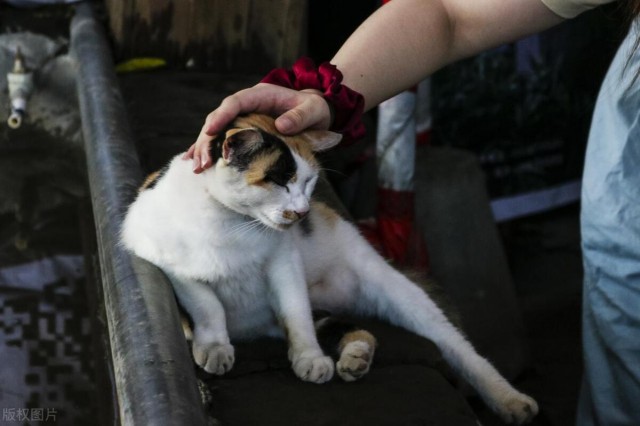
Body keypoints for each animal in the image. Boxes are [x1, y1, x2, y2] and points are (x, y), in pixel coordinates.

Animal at [122, 114, 536, 426]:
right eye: (280, 180)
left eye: (309, 183)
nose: (303, 212)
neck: (234, 224)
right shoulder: (164, 261)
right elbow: (207, 306)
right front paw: (214, 348)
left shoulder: (285, 265)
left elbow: (296, 315)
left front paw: (308, 357)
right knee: (350, 327)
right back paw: (356, 359)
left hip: (394, 289)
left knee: (458, 348)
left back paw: (511, 401)